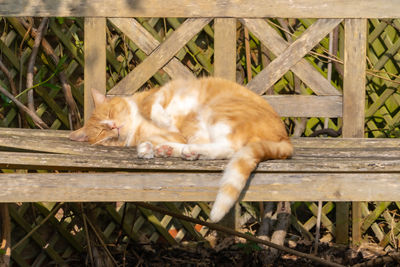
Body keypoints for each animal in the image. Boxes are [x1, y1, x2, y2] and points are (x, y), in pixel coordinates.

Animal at [70, 77, 292, 222]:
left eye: (109, 113)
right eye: (101, 131)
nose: (114, 126)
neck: (137, 126)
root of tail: (285, 138)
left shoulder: (167, 93)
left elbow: (153, 107)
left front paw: (163, 121)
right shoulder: (175, 133)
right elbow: (159, 137)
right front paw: (150, 148)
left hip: (218, 109)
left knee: (230, 147)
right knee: (226, 149)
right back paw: (177, 151)